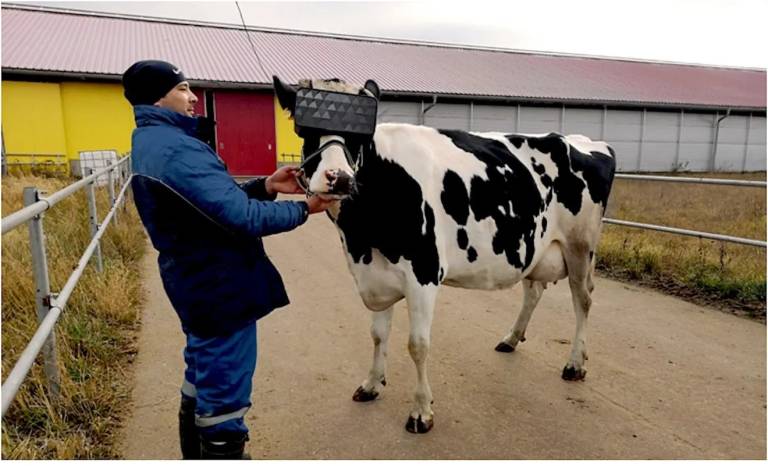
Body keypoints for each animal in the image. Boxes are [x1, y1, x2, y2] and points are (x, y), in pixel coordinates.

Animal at [273, 76, 616, 434]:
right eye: (304, 129)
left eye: (361, 135)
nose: (339, 178)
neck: (362, 238)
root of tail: (585, 141)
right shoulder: (375, 274)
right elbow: (378, 335)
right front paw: (371, 384)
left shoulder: (423, 273)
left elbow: (418, 345)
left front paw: (421, 411)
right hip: (534, 246)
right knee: (533, 290)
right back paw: (511, 338)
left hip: (580, 246)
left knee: (583, 299)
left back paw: (575, 364)